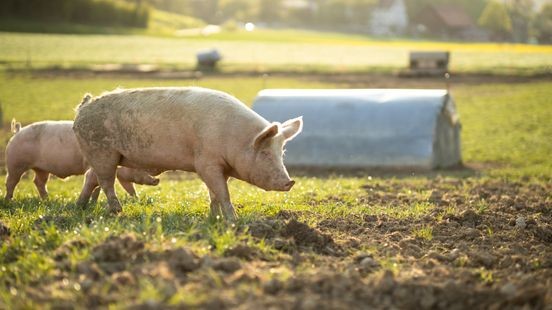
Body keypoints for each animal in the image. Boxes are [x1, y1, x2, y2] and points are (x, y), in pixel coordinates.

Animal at [4, 118, 160, 201]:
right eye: (140, 167)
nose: (156, 180)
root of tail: (17, 131)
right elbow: (98, 185)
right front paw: (93, 201)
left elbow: (128, 187)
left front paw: (136, 199)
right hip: (15, 163)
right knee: (11, 181)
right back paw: (9, 200)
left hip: (41, 169)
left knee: (38, 182)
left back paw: (47, 199)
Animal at [73, 86, 302, 219]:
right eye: (265, 154)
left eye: (281, 153)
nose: (290, 182)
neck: (235, 139)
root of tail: (82, 108)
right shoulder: (206, 163)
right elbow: (223, 193)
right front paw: (233, 221)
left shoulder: (220, 167)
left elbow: (214, 194)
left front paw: (214, 218)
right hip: (101, 151)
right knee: (106, 182)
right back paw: (117, 211)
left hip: (105, 155)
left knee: (91, 178)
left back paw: (81, 206)